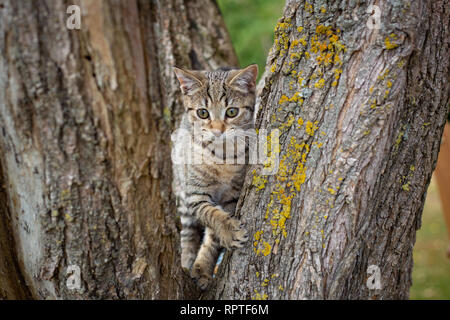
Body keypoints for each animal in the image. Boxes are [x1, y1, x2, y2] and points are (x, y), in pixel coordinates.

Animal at [171, 63, 258, 288]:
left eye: (232, 112)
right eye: (203, 113)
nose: (218, 130)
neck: (221, 157)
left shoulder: (232, 197)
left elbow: (212, 238)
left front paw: (203, 268)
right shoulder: (195, 195)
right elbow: (212, 214)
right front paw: (228, 230)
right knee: (187, 233)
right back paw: (185, 260)